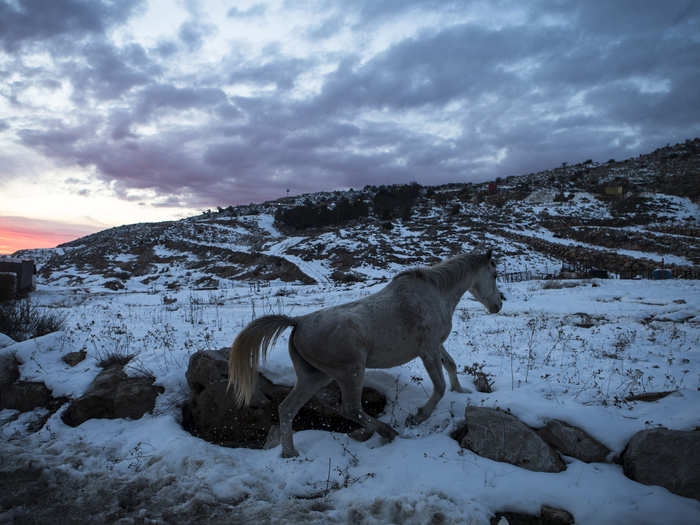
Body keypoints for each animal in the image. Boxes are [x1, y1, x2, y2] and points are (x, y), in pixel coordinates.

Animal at [228, 249, 504, 454]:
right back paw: (387, 432)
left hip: (314, 377)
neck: (435, 293)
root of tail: (298, 322)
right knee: (350, 409)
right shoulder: (427, 350)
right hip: (350, 373)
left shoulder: (437, 345)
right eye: (494, 273)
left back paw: (291, 453)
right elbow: (439, 386)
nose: (498, 304)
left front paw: (462, 391)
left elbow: (451, 366)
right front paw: (418, 417)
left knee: (287, 409)